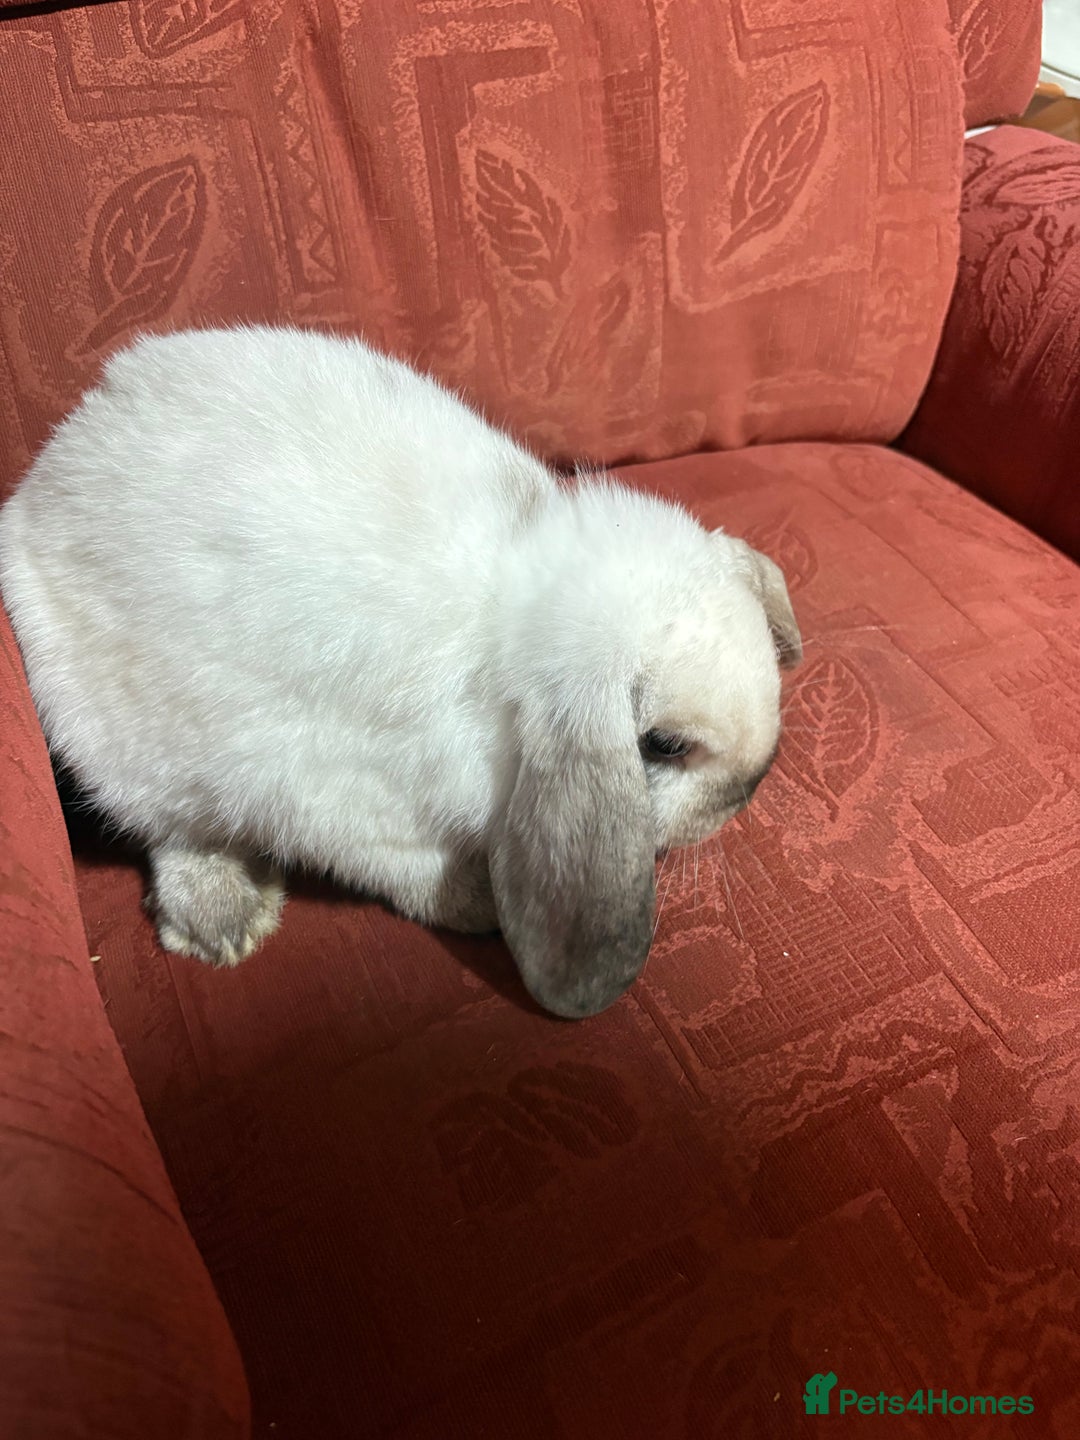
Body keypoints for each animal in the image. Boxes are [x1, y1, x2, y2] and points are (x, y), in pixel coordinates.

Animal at [0, 325, 801, 1018]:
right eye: (662, 746)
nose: (749, 791)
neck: (509, 622)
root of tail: (41, 485)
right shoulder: (337, 803)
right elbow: (403, 865)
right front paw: (478, 903)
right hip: (113, 738)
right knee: (167, 828)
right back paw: (227, 917)